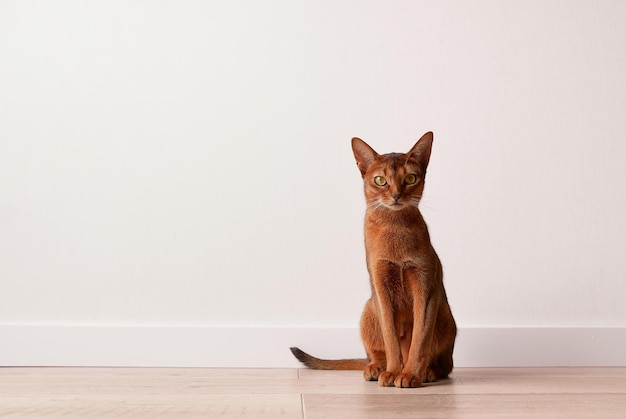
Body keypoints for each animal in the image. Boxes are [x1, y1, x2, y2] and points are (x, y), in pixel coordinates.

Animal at [290, 132, 456, 390]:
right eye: (380, 180)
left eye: (410, 178)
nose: (396, 195)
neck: (394, 227)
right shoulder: (380, 286)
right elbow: (389, 337)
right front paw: (394, 371)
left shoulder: (425, 287)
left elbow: (420, 339)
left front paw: (410, 374)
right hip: (369, 308)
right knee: (375, 353)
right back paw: (376, 368)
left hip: (444, 313)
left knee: (446, 365)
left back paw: (428, 371)